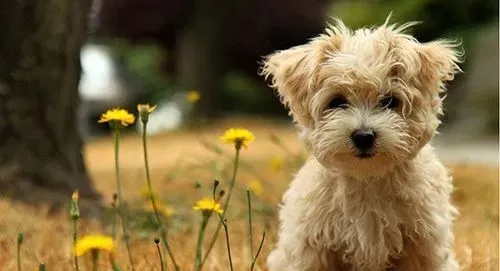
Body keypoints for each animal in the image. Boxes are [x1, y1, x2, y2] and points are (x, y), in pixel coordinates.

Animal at [262, 17, 460, 271]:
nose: (363, 136)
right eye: (336, 101)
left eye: (390, 101)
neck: (367, 179)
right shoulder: (311, 245)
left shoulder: (424, 244)